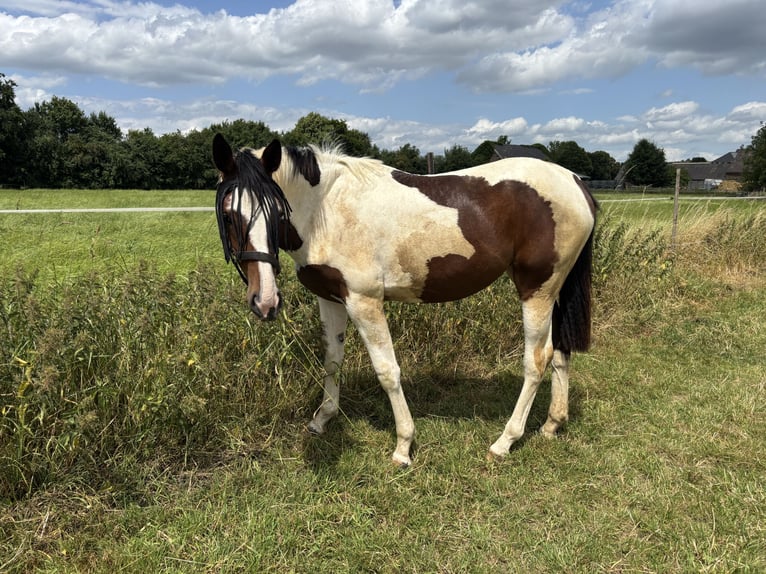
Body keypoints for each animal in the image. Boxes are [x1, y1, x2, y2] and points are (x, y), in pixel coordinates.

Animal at [212, 133, 597, 467]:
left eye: (277, 212)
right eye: (229, 215)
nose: (265, 301)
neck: (328, 208)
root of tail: (574, 181)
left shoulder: (364, 302)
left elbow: (387, 371)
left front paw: (403, 446)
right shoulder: (331, 299)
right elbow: (332, 361)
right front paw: (322, 420)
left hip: (537, 290)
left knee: (537, 360)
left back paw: (505, 441)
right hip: (553, 292)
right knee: (559, 352)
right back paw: (552, 424)